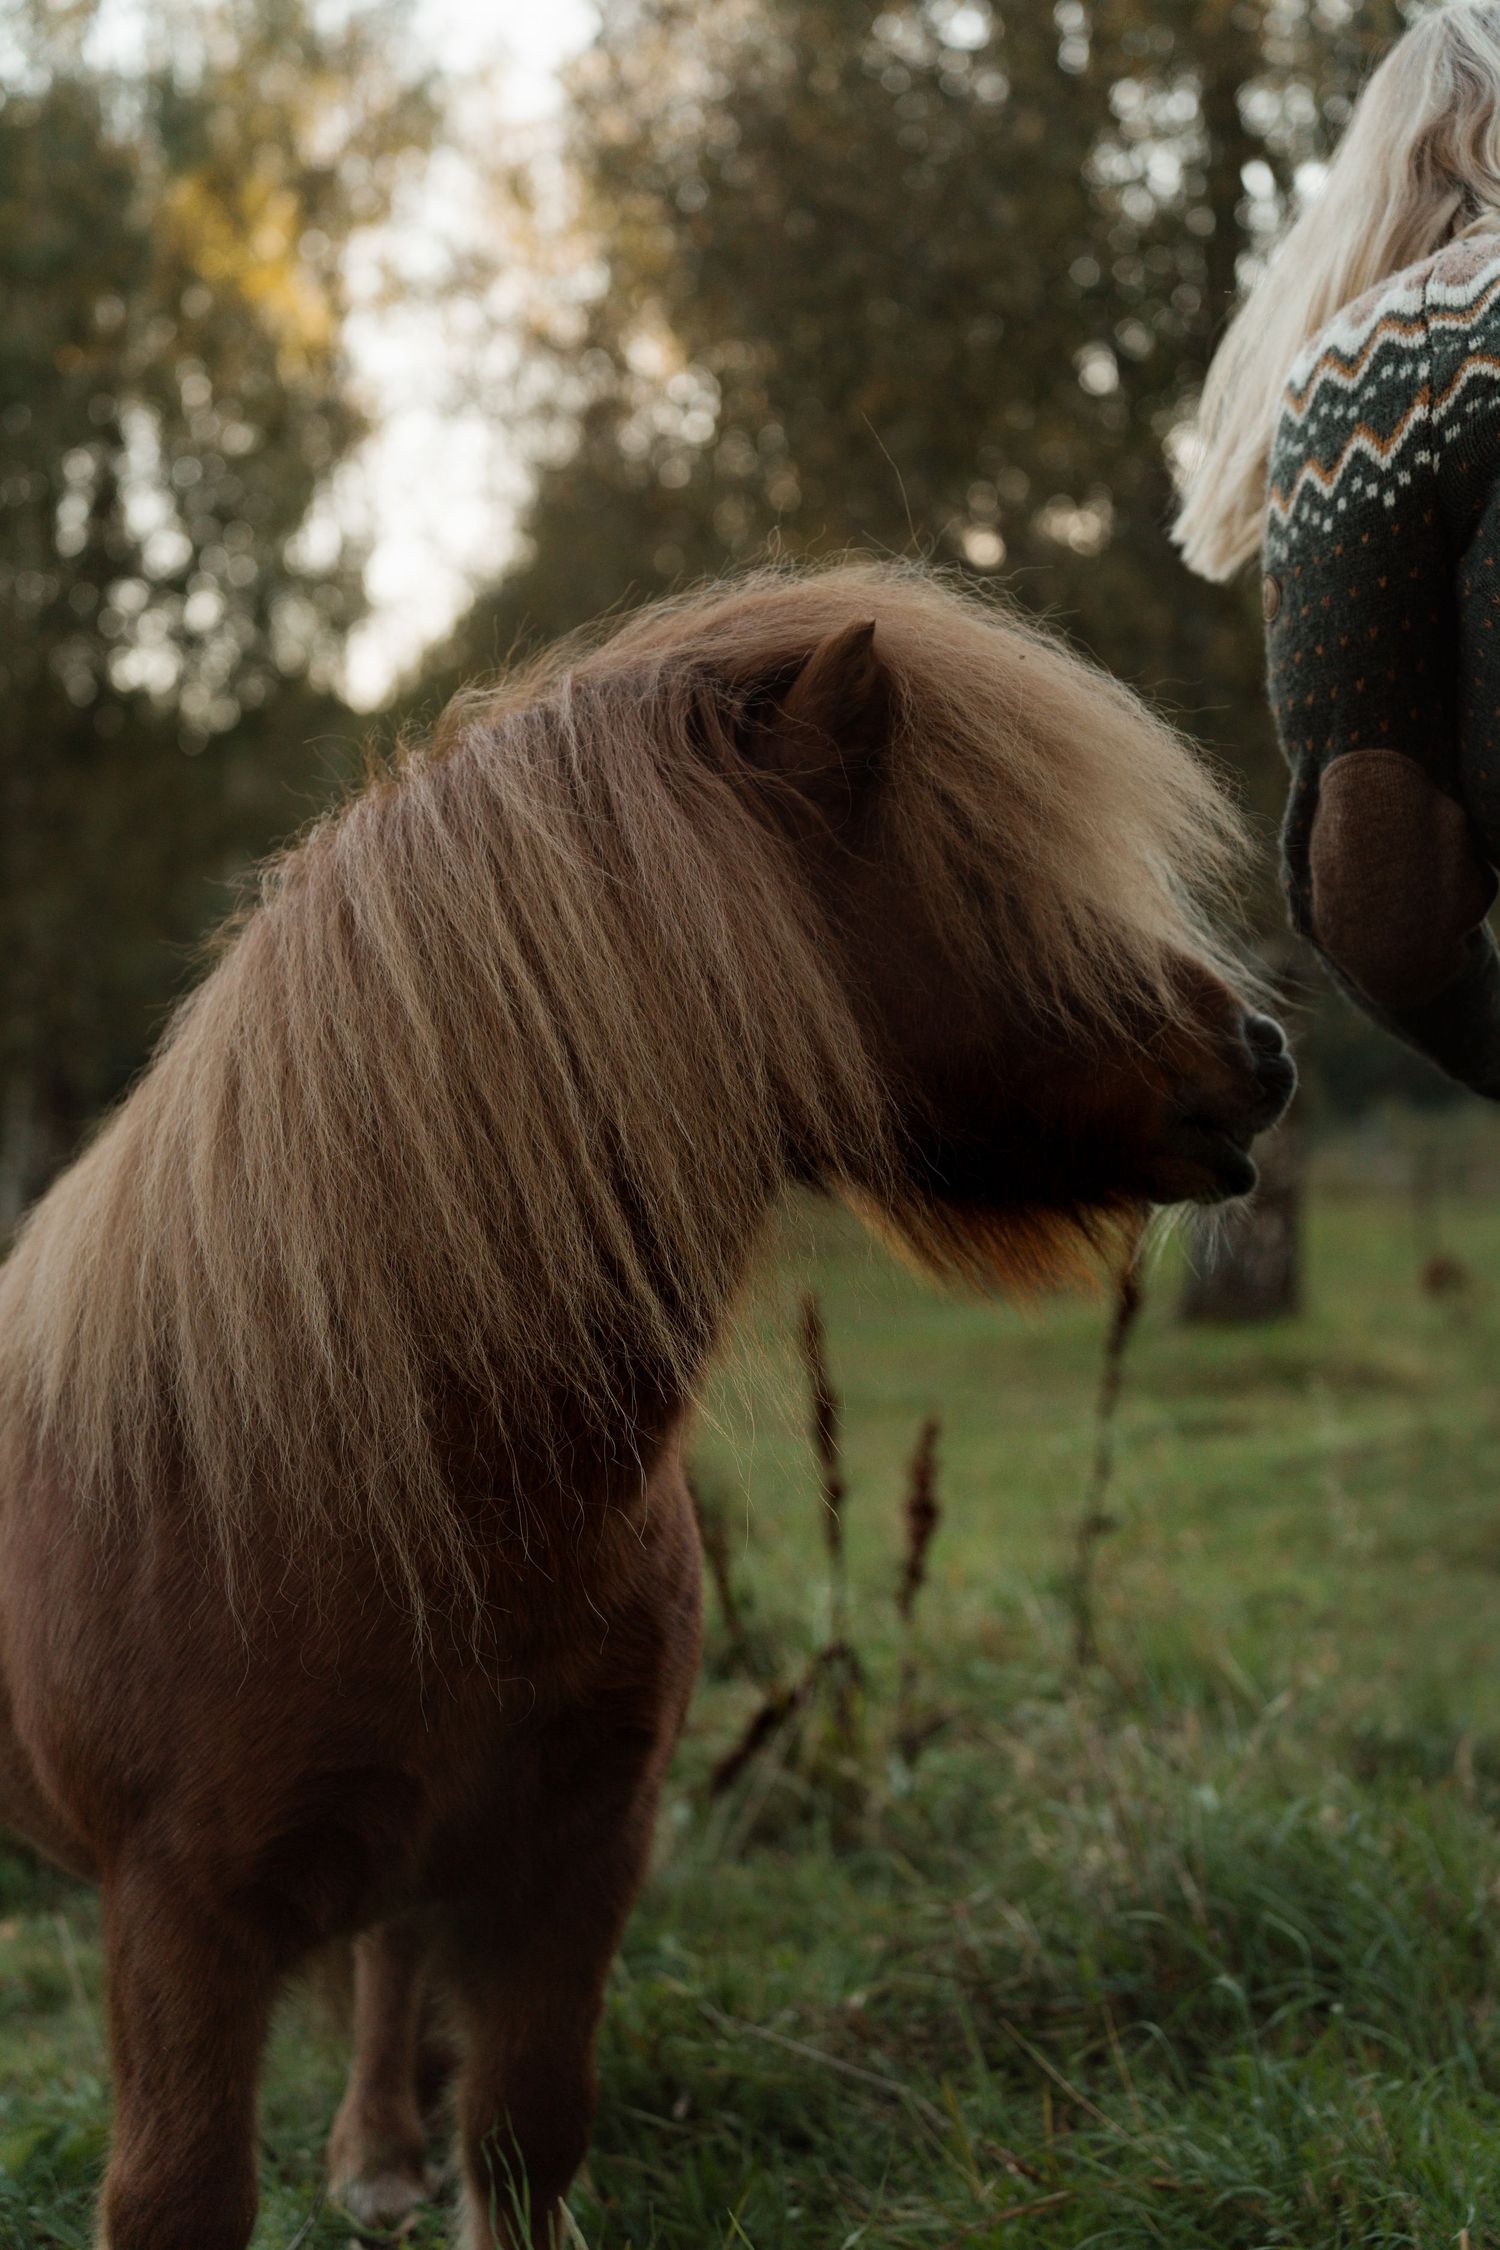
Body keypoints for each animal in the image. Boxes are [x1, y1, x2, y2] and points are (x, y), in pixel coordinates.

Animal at [0, 562, 1294, 2248]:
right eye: (985, 861)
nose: (1262, 1052)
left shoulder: (575, 1857)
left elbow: (521, 2137)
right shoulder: (181, 1922)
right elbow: (180, 2194)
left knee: (394, 1953)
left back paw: (378, 2151)